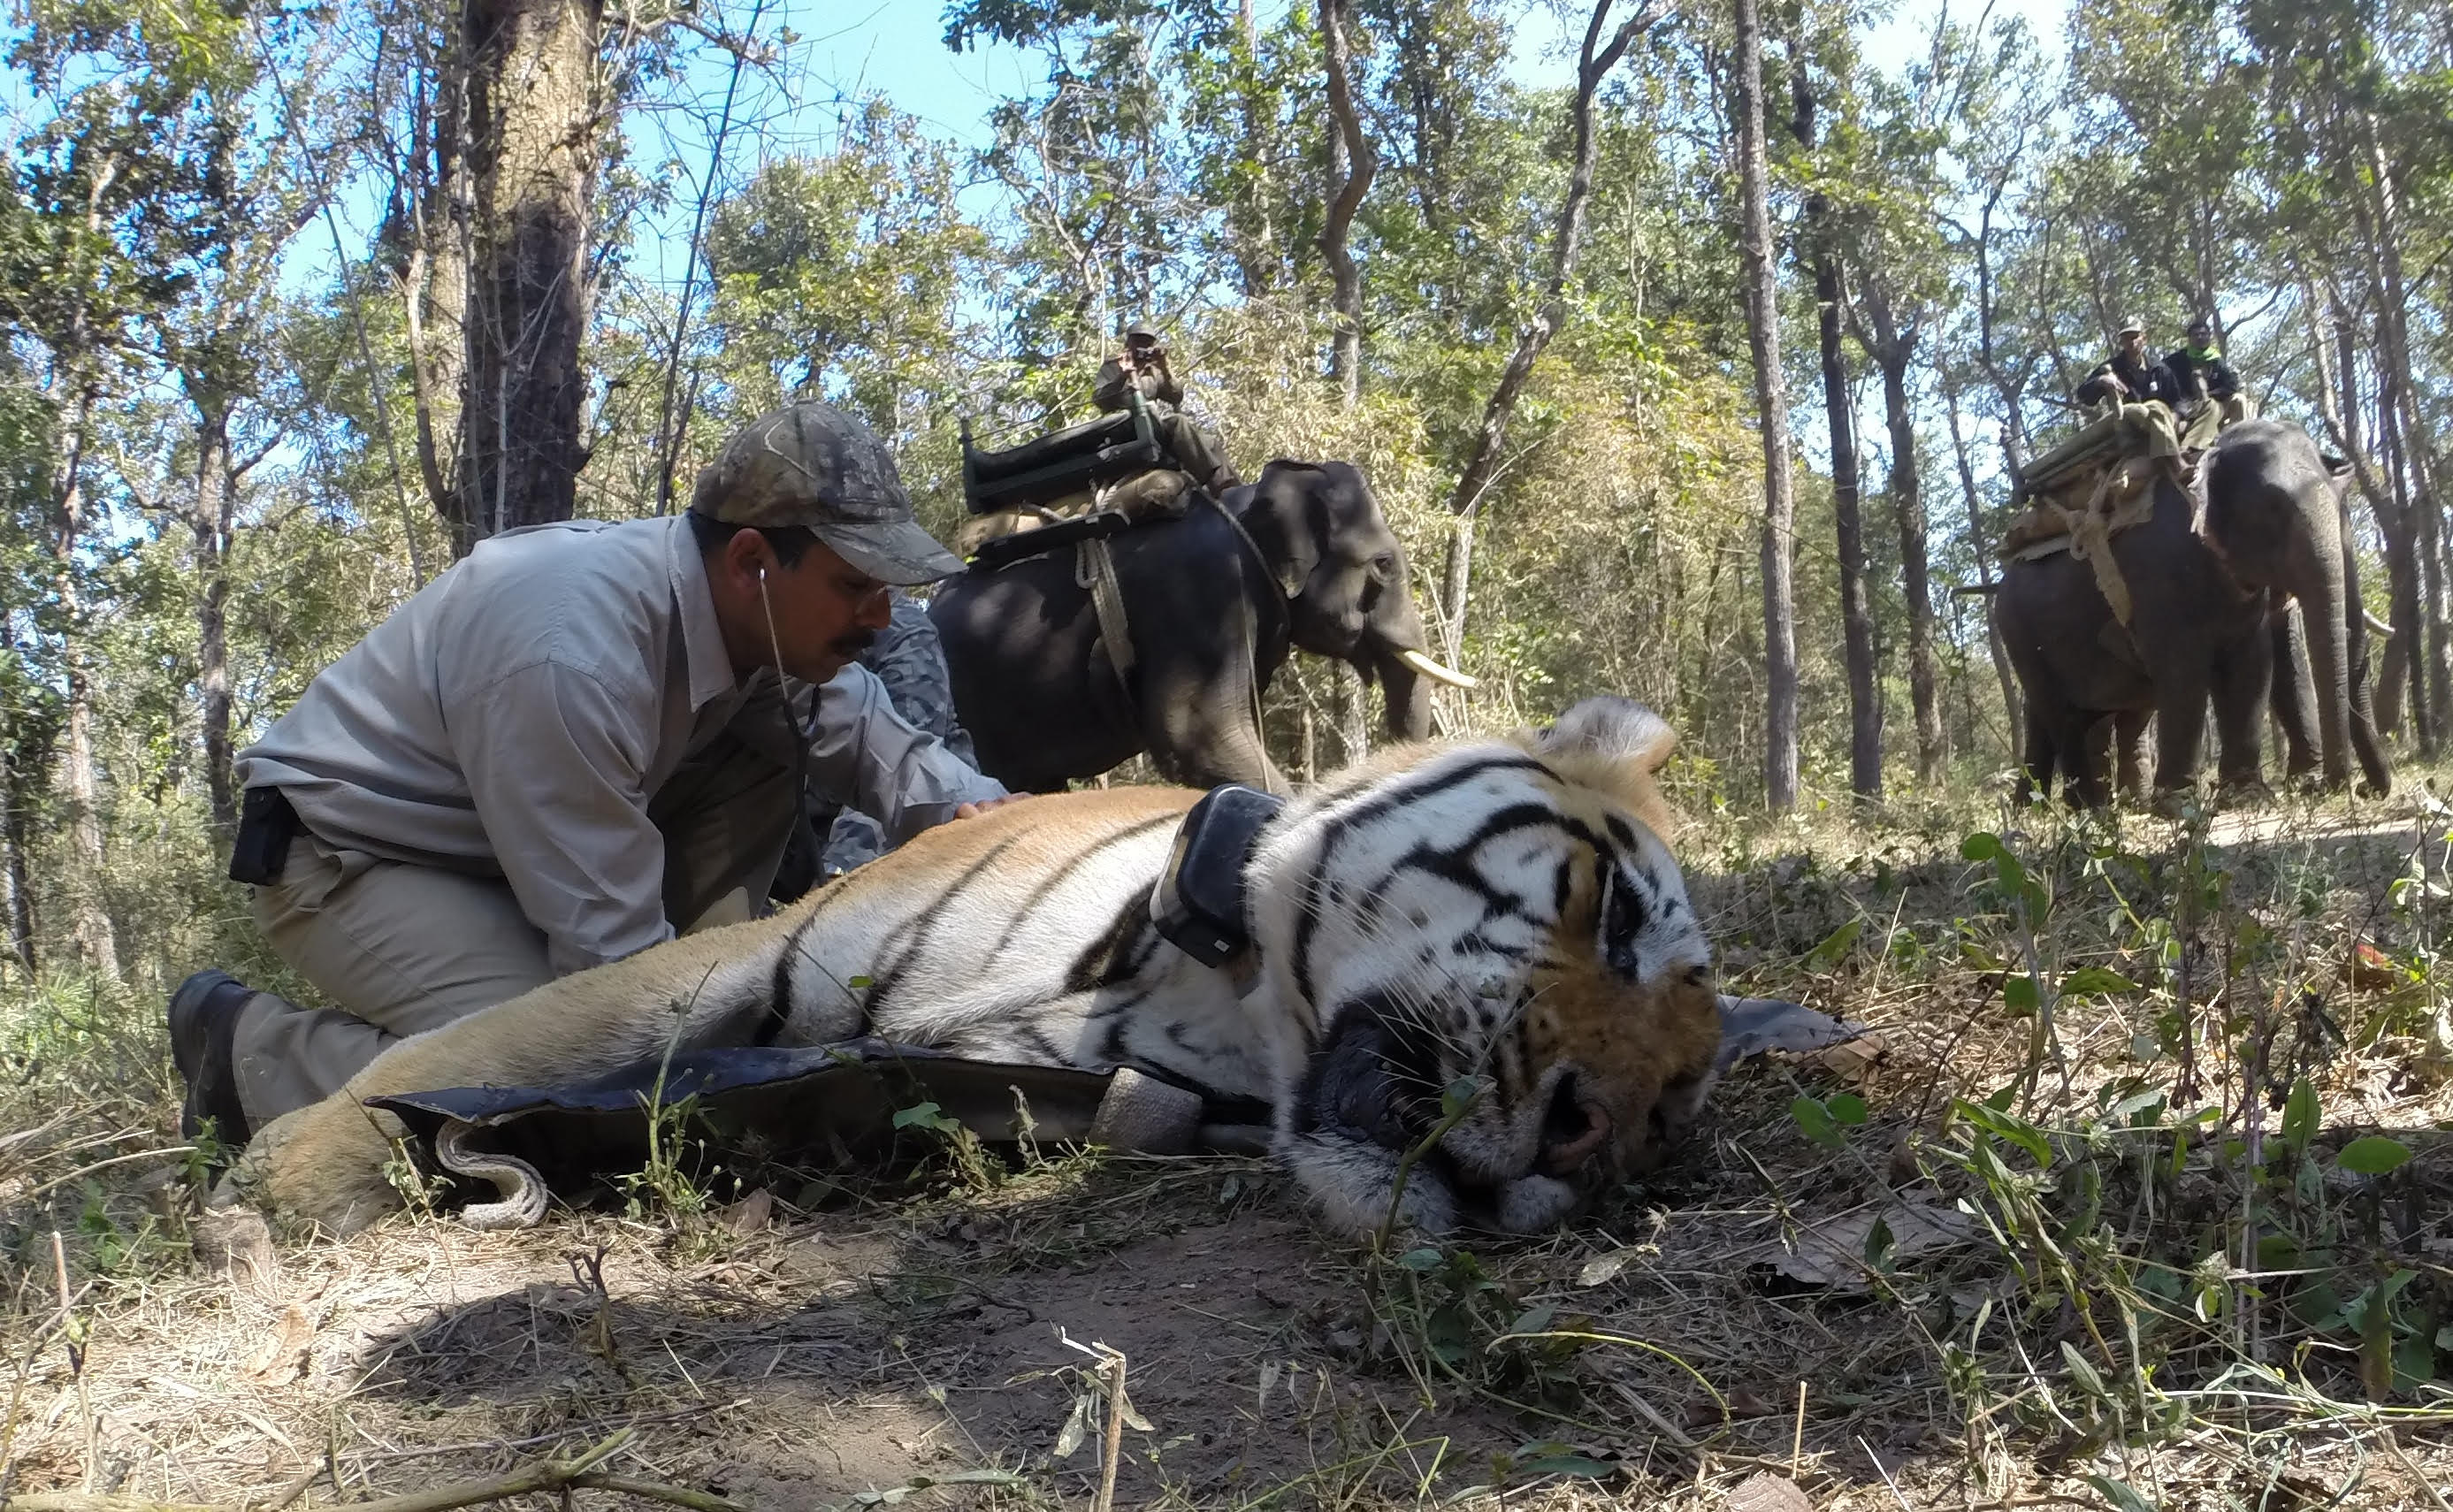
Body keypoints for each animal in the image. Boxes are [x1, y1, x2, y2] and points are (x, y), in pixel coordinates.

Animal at [230, 695, 1725, 1240]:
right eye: (1606, 911)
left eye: (1665, 1112)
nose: (1586, 1133)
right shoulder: (738, 955)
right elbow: (493, 1042)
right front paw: (286, 1178)